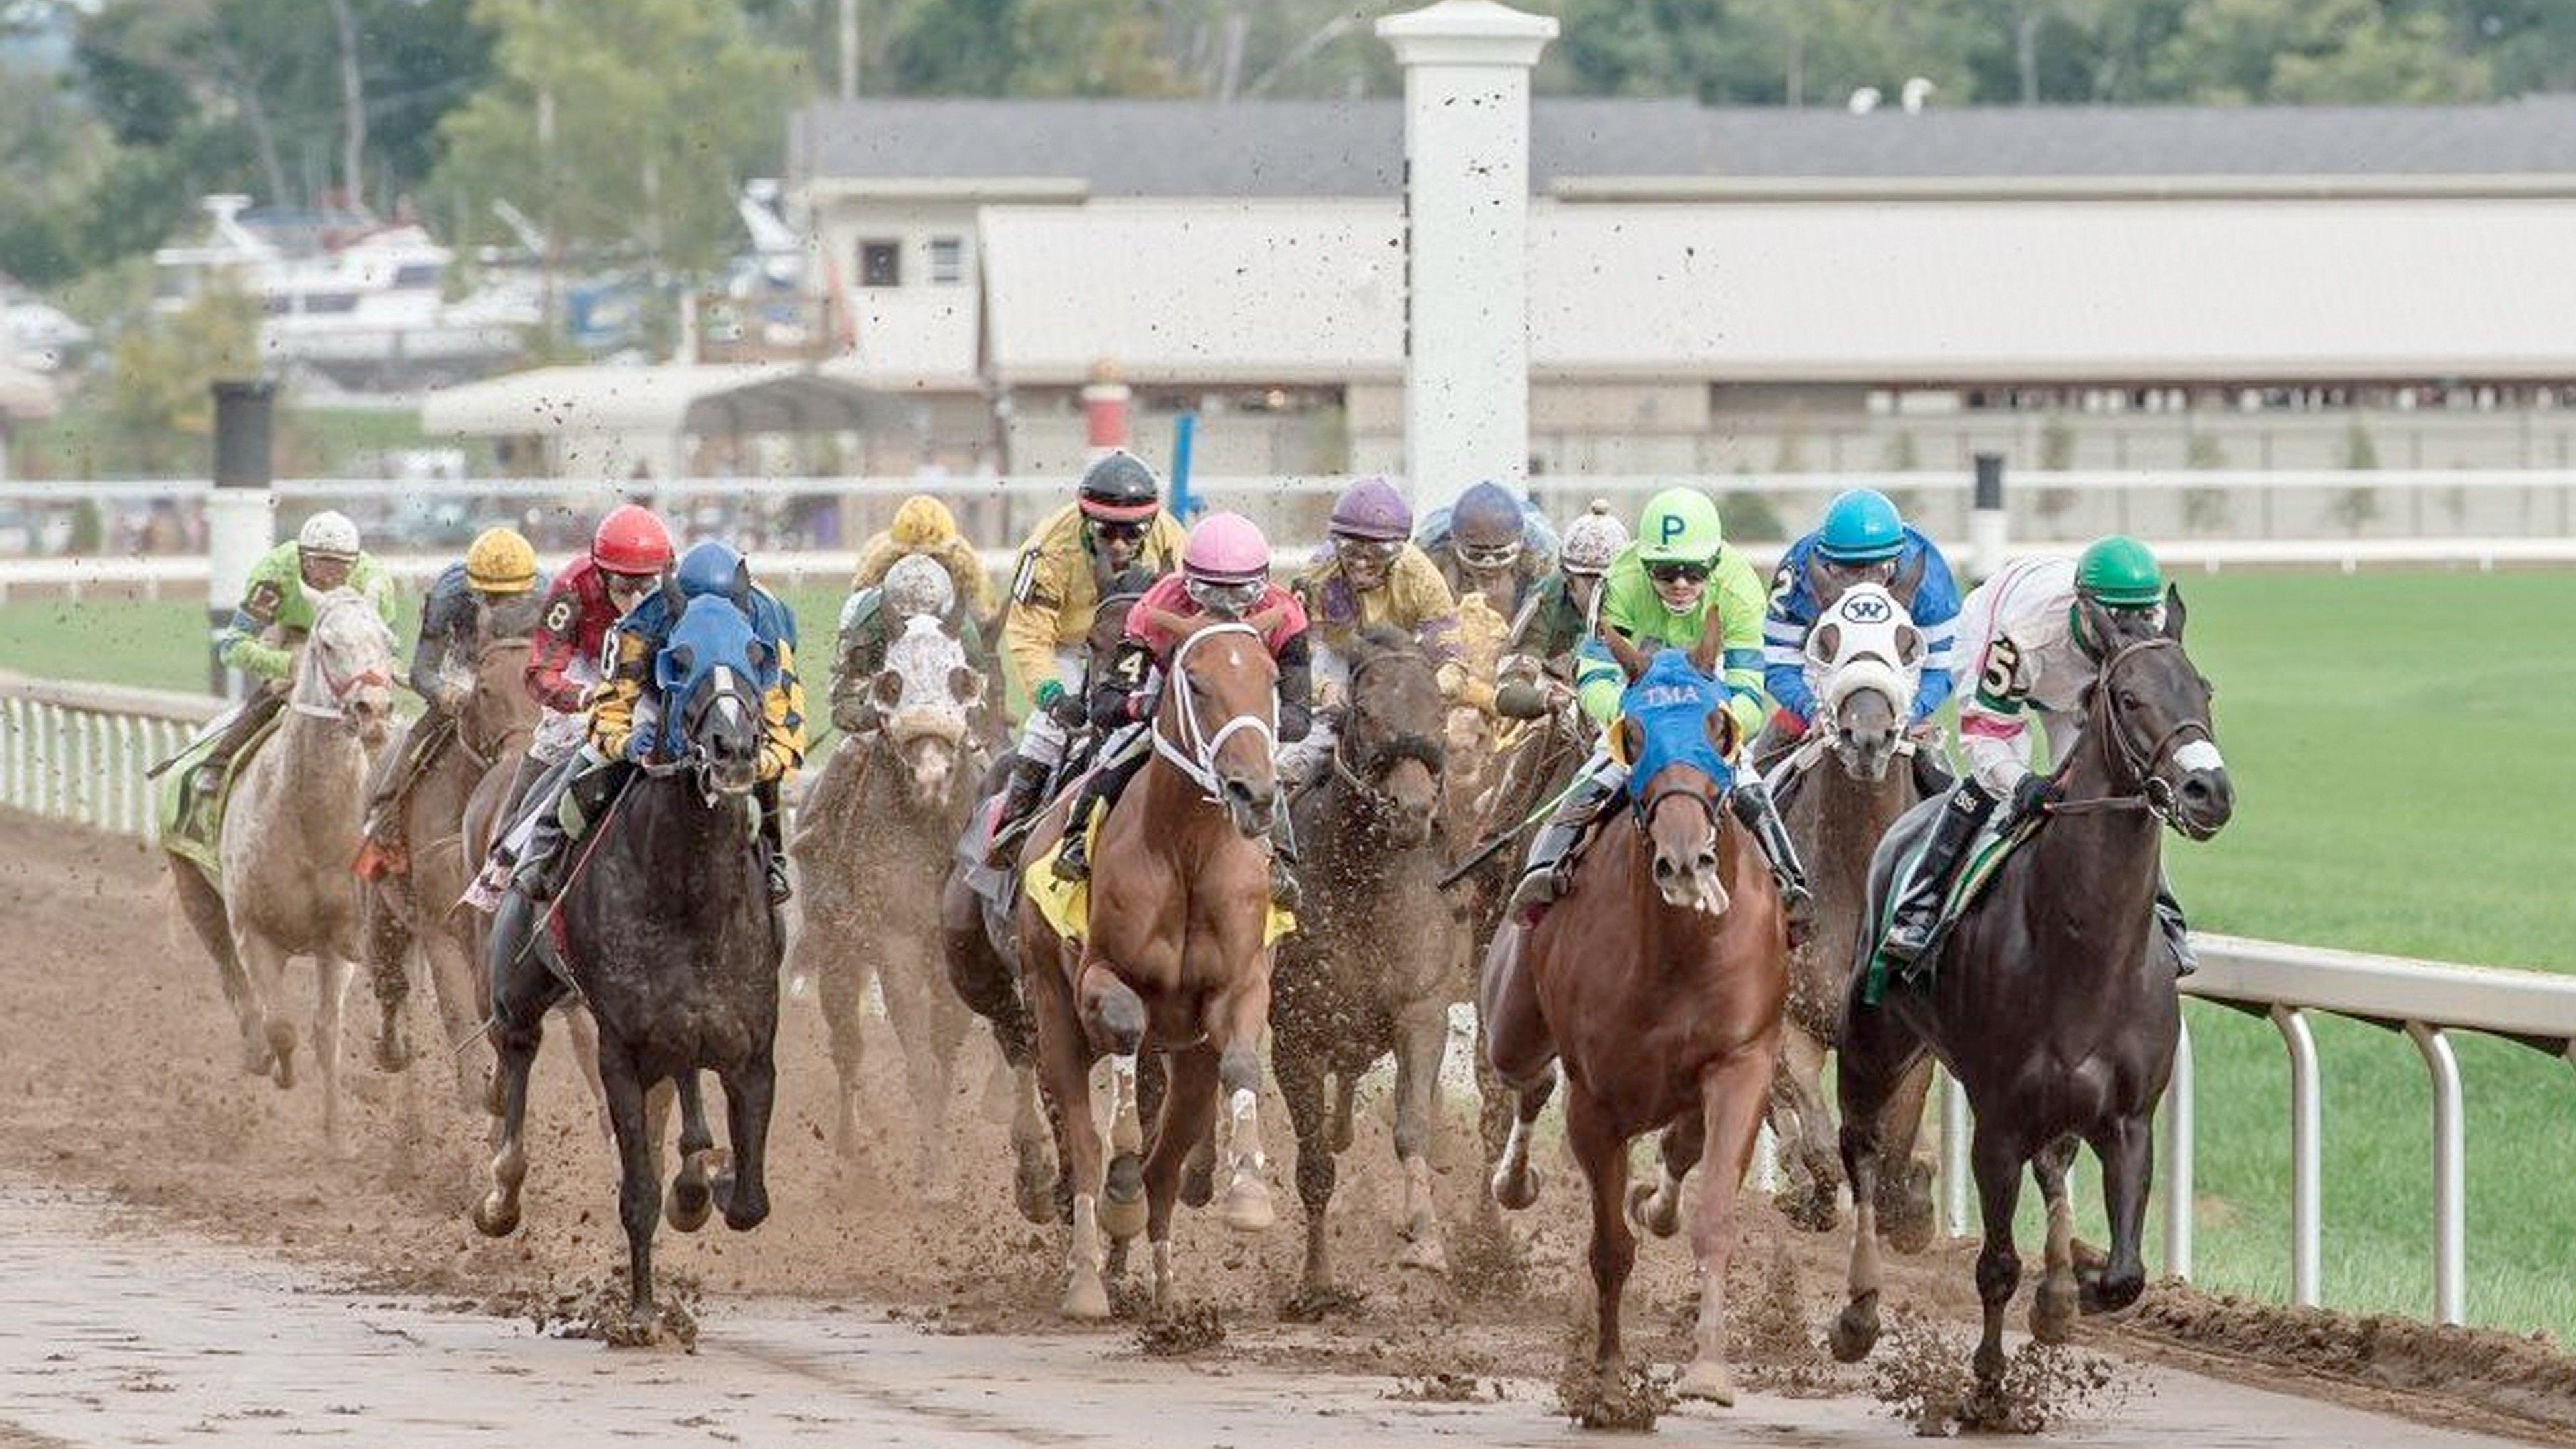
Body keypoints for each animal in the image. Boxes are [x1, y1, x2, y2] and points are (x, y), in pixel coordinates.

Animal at [468, 580, 777, 1330]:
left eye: (757, 653)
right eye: (678, 659)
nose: (732, 747)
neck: (690, 896)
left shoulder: (753, 1048)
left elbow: (750, 1201)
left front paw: (708, 1182)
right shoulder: (622, 1050)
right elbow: (637, 1192)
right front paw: (640, 1315)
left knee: (687, 1085)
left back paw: (695, 1174)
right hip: (516, 989)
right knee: (515, 1057)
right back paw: (501, 1194)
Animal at [1010, 613, 1283, 1315]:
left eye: (1271, 678)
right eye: (1196, 682)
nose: (1254, 792)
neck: (1187, 851)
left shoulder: (1237, 989)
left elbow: (1242, 1061)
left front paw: (1249, 1195)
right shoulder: (1096, 980)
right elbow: (1128, 1028)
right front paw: (1122, 1174)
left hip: (1190, 1063)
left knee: (1166, 1167)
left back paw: (1160, 1289)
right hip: (1051, 1015)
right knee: (1084, 1148)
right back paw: (1087, 1277)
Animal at [1272, 626, 1473, 1279]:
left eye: (1439, 712)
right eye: (1363, 710)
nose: (1410, 811)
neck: (1363, 891)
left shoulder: (1422, 1012)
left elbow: (1411, 1128)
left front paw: (1427, 1238)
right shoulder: (1295, 1037)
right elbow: (1313, 1165)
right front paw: (1317, 1278)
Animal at [1473, 624, 1792, 1402]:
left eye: (1718, 726)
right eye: (1634, 730)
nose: (1683, 861)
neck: (1678, 949)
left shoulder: (1742, 1061)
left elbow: (1714, 1217)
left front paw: (1707, 1369)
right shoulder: (1597, 1100)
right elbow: (1609, 1248)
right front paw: (1611, 1378)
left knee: (1678, 1142)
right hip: (1511, 1019)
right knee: (1527, 1078)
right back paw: (1514, 1179)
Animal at [1834, 588, 2236, 1392]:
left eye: (2203, 690)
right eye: (2129, 697)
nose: (2208, 790)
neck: (2087, 951)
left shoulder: (2129, 1119)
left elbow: (2127, 1276)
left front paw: (2074, 1285)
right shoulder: (1998, 1124)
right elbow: (1995, 1265)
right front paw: (1988, 1382)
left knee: (2055, 1167)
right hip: (1872, 1046)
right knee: (1859, 1154)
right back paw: (1859, 1314)